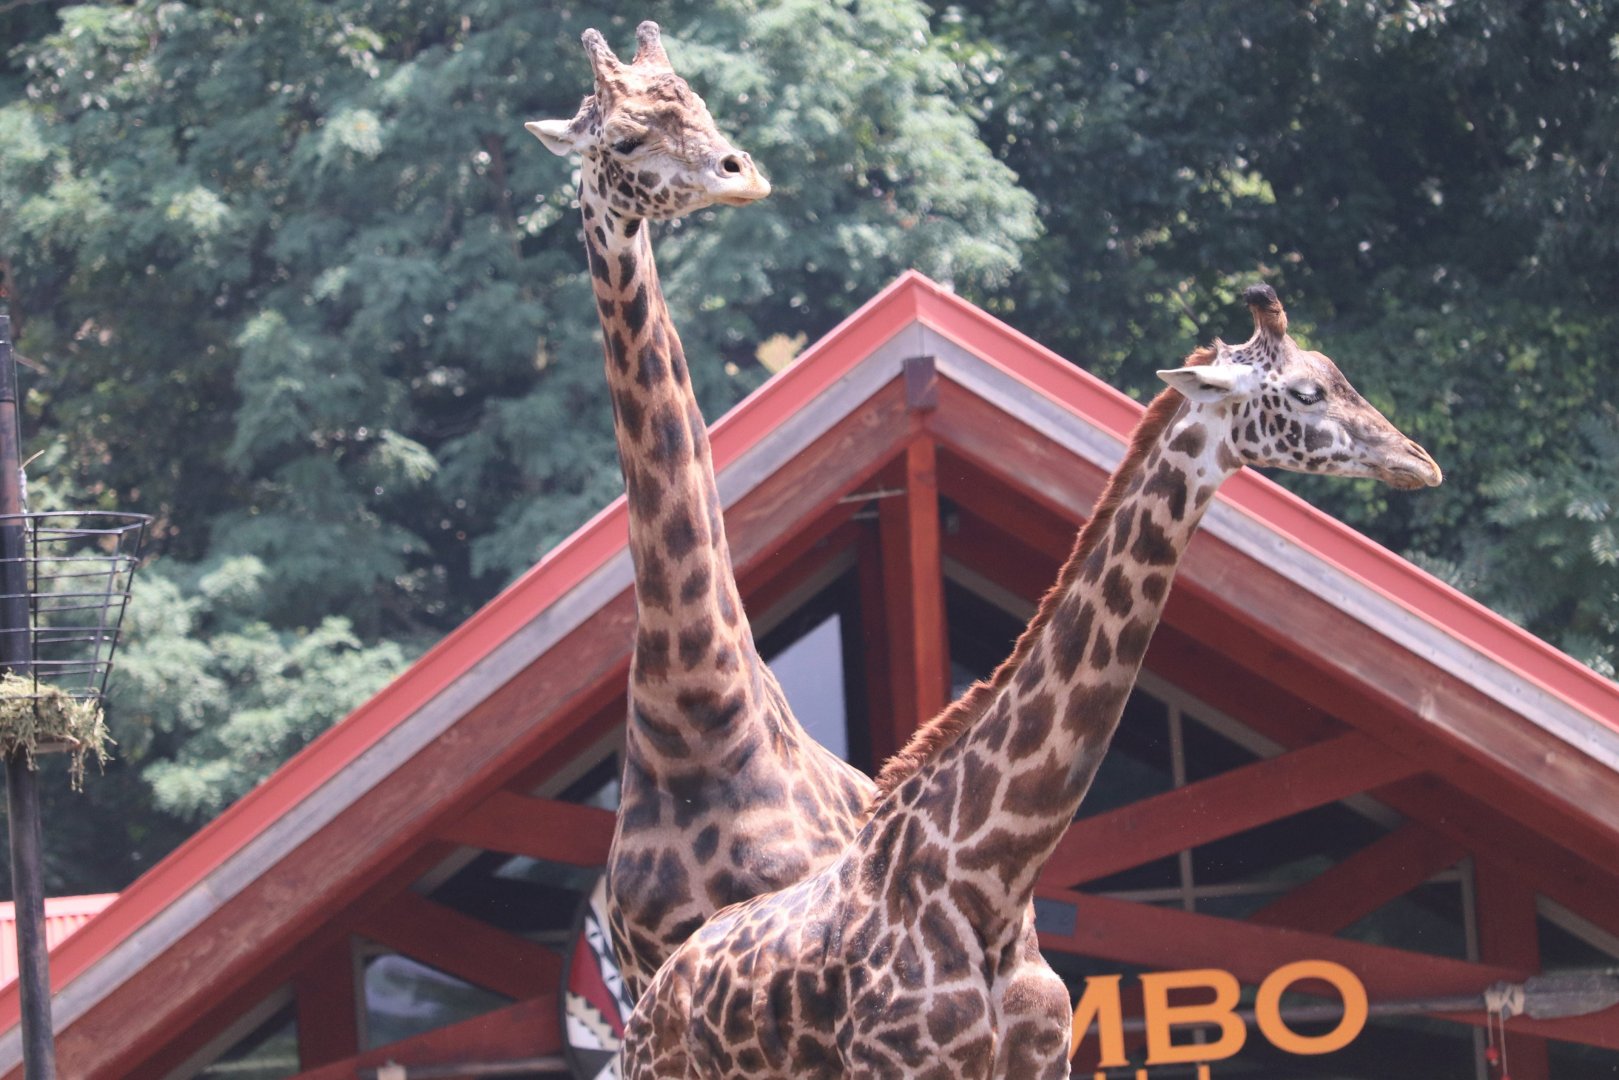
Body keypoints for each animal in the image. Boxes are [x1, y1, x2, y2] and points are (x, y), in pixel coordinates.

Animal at [620, 284, 1442, 1079]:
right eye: (1306, 392)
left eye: (1335, 374)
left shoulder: (1046, 1062)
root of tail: (658, 991)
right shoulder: (902, 1069)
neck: (994, 880)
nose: (1418, 461)